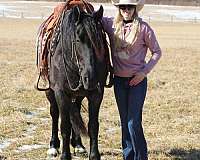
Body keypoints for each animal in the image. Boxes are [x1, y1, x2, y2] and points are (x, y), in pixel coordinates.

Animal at [45, 5, 111, 159]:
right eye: (77, 40)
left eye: (99, 40)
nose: (90, 78)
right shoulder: (61, 93)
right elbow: (64, 126)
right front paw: (65, 155)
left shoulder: (96, 94)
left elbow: (93, 126)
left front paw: (94, 155)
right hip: (50, 92)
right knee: (54, 113)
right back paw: (53, 146)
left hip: (78, 95)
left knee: (76, 110)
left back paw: (78, 145)